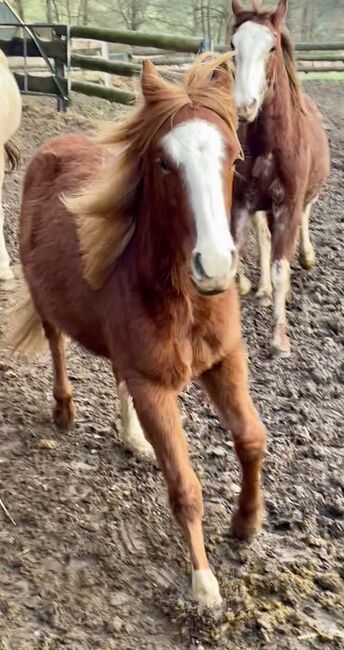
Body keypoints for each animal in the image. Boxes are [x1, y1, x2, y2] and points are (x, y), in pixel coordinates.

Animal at [8, 55, 266, 608]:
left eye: (234, 159)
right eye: (165, 163)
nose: (215, 267)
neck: (185, 302)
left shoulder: (225, 359)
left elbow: (252, 438)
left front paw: (246, 522)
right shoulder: (154, 388)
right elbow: (185, 486)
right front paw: (203, 584)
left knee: (115, 371)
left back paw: (132, 439)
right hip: (46, 303)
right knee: (57, 346)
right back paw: (64, 410)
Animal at [230, 0, 330, 354]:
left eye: (271, 47)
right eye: (233, 45)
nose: (245, 105)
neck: (269, 147)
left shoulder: (287, 204)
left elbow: (280, 269)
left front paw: (279, 337)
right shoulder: (241, 203)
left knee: (304, 216)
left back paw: (307, 257)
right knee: (263, 237)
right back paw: (260, 291)